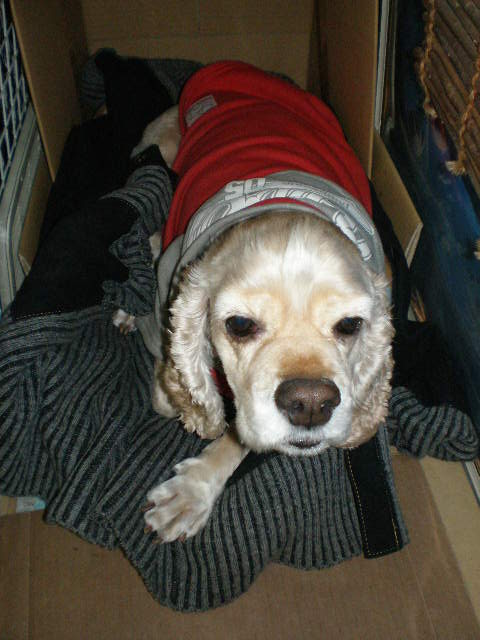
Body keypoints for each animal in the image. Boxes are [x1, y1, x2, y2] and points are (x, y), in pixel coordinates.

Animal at [126, 62, 394, 543]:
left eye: (350, 325)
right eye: (239, 325)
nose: (311, 404)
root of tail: (237, 67)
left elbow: (240, 431)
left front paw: (192, 492)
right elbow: (178, 395)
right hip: (160, 144)